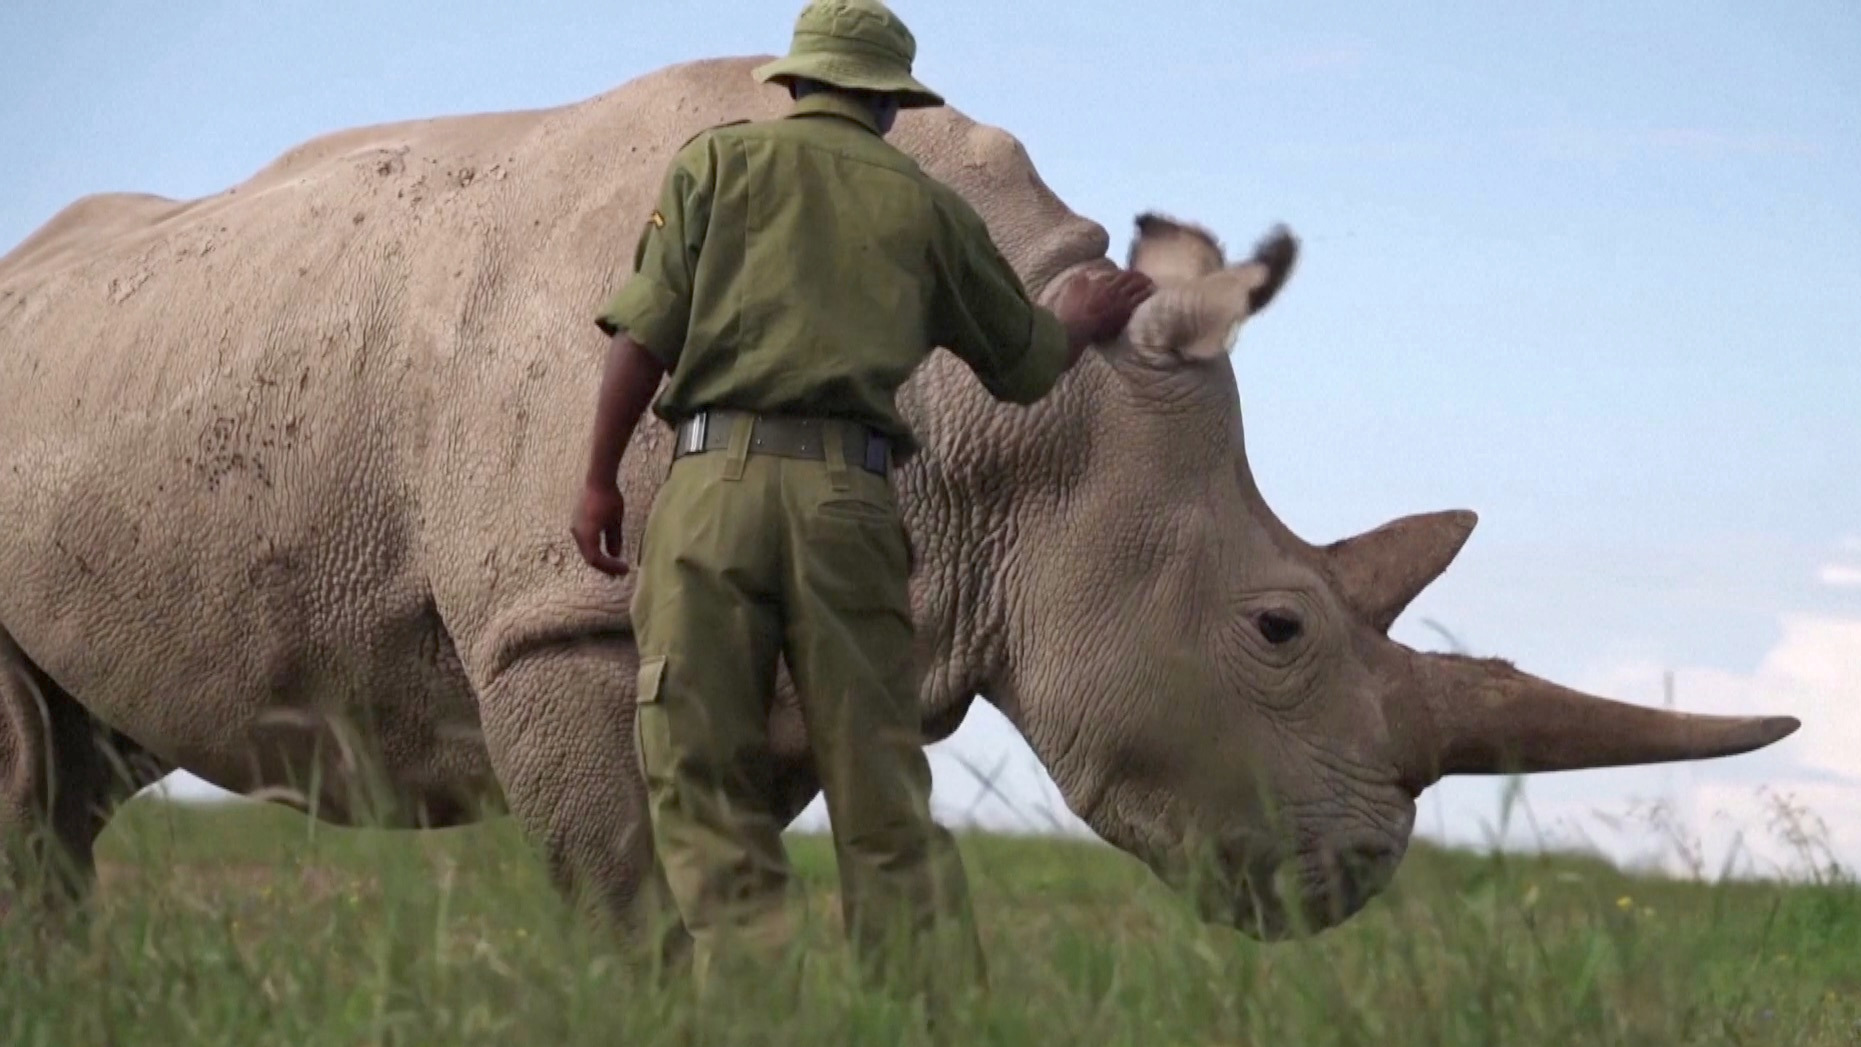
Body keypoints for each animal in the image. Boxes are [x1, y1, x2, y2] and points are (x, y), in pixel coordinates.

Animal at [0, 55, 1797, 942]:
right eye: (1278, 625)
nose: (1351, 878)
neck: (1009, 424)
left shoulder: (877, 619)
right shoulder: (555, 621)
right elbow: (632, 898)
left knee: (77, 769)